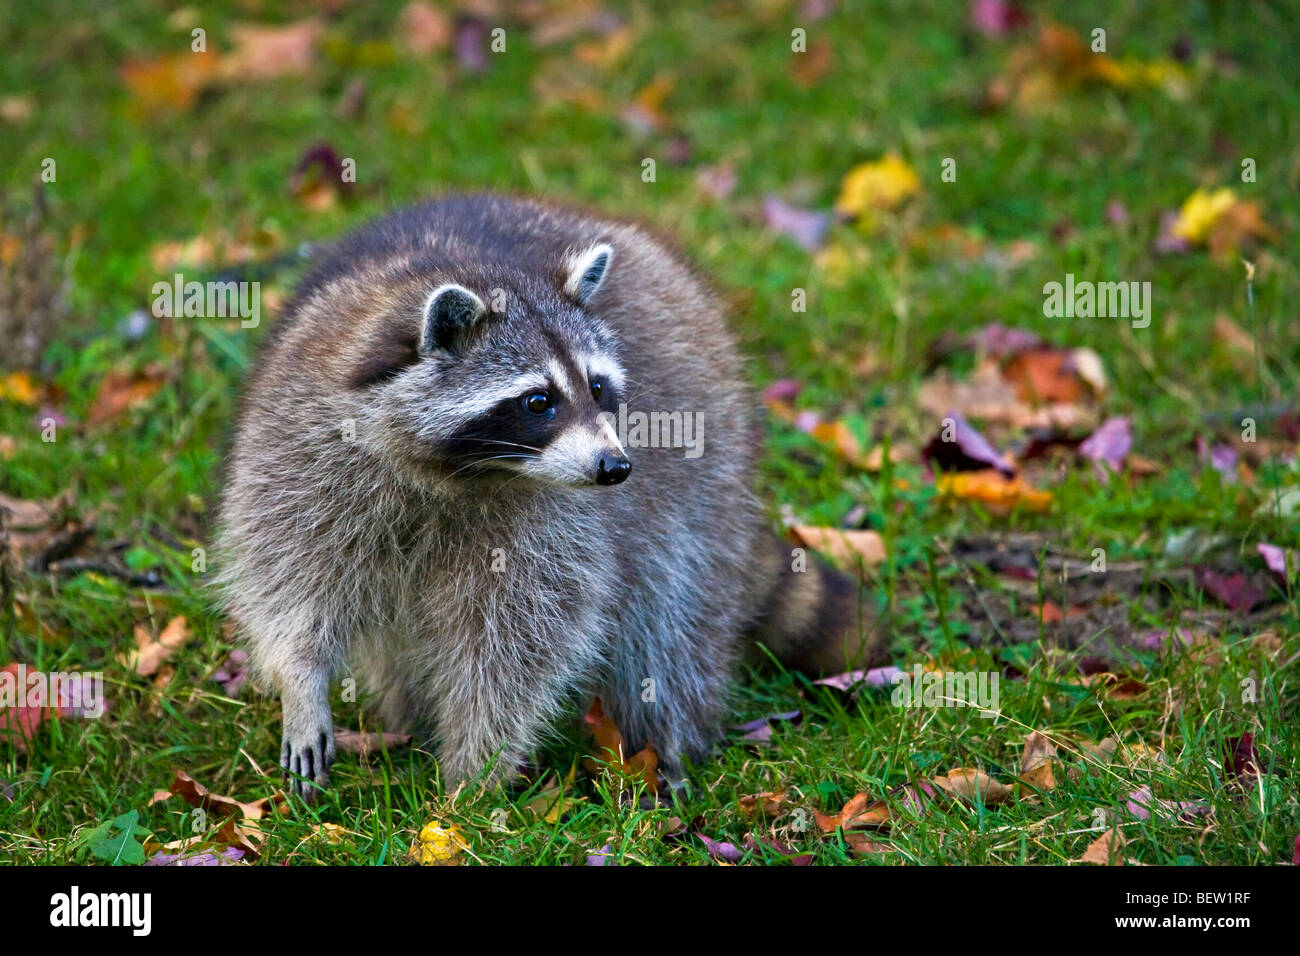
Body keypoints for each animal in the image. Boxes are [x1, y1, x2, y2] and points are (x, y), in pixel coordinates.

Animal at [218, 195, 883, 801]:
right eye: (538, 401)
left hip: (706, 474)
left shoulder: (556, 520)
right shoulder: (306, 441)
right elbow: (290, 571)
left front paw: (475, 772)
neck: (457, 471)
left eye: (597, 387)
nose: (615, 467)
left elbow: (522, 639)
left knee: (668, 618)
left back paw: (665, 742)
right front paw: (302, 681)